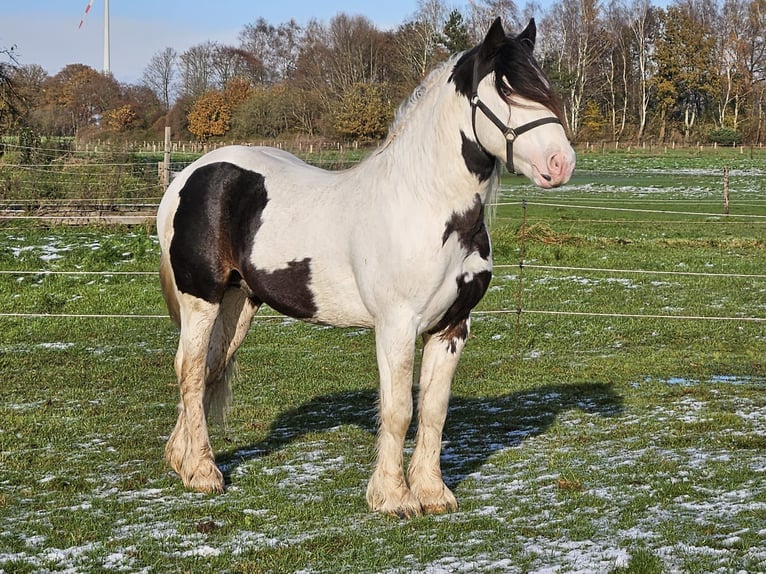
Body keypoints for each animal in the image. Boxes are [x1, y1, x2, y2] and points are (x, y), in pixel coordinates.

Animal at [158, 18, 576, 520]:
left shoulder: (453, 327)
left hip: (239, 302)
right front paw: (394, 498)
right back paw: (203, 472)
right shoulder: (396, 325)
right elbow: (398, 410)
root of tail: (188, 176)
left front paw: (433, 493)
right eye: (505, 90)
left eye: (545, 85)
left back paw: (180, 459)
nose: (561, 163)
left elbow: (434, 410)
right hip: (201, 299)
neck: (424, 202)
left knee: (208, 370)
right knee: (189, 370)